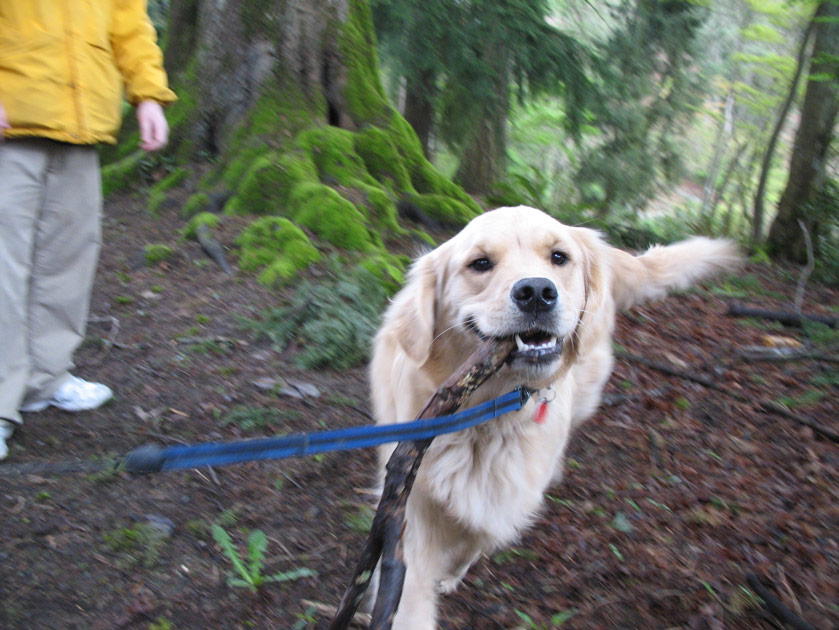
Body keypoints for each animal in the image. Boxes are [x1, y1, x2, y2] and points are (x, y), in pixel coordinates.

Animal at [370, 205, 740, 628]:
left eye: (559, 257)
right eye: (479, 263)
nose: (536, 292)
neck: (488, 417)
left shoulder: (507, 500)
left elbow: (477, 538)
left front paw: (452, 571)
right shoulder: (408, 510)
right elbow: (410, 594)